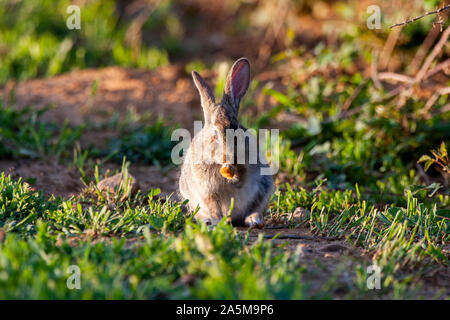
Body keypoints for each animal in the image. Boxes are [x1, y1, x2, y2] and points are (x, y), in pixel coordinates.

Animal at [179, 57, 274, 228]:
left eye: (235, 127)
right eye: (214, 133)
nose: (229, 156)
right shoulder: (207, 191)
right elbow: (214, 206)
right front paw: (217, 222)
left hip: (264, 188)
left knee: (254, 208)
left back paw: (253, 219)